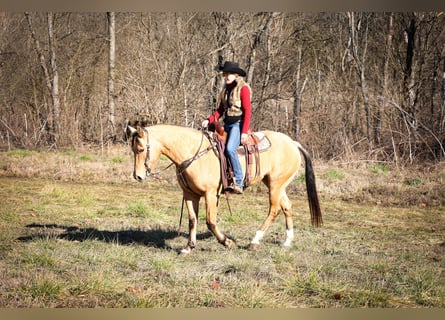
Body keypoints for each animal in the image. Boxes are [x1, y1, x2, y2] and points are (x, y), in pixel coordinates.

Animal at [126, 124, 320, 254]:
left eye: (141, 149)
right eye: (132, 149)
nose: (138, 176)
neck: (192, 153)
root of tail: (293, 143)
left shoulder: (211, 194)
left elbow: (210, 221)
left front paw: (227, 242)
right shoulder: (189, 195)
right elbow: (192, 220)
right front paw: (188, 247)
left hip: (275, 185)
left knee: (274, 209)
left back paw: (254, 241)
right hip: (277, 184)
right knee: (287, 207)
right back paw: (287, 242)